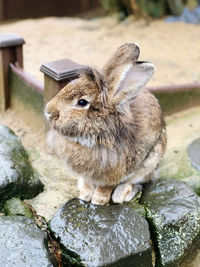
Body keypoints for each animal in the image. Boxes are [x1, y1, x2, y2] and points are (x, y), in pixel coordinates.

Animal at [45, 44, 167, 206]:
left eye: (82, 102)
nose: (48, 110)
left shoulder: (113, 173)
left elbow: (105, 187)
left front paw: (98, 201)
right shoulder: (87, 175)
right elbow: (87, 183)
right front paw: (84, 196)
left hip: (150, 162)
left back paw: (120, 195)